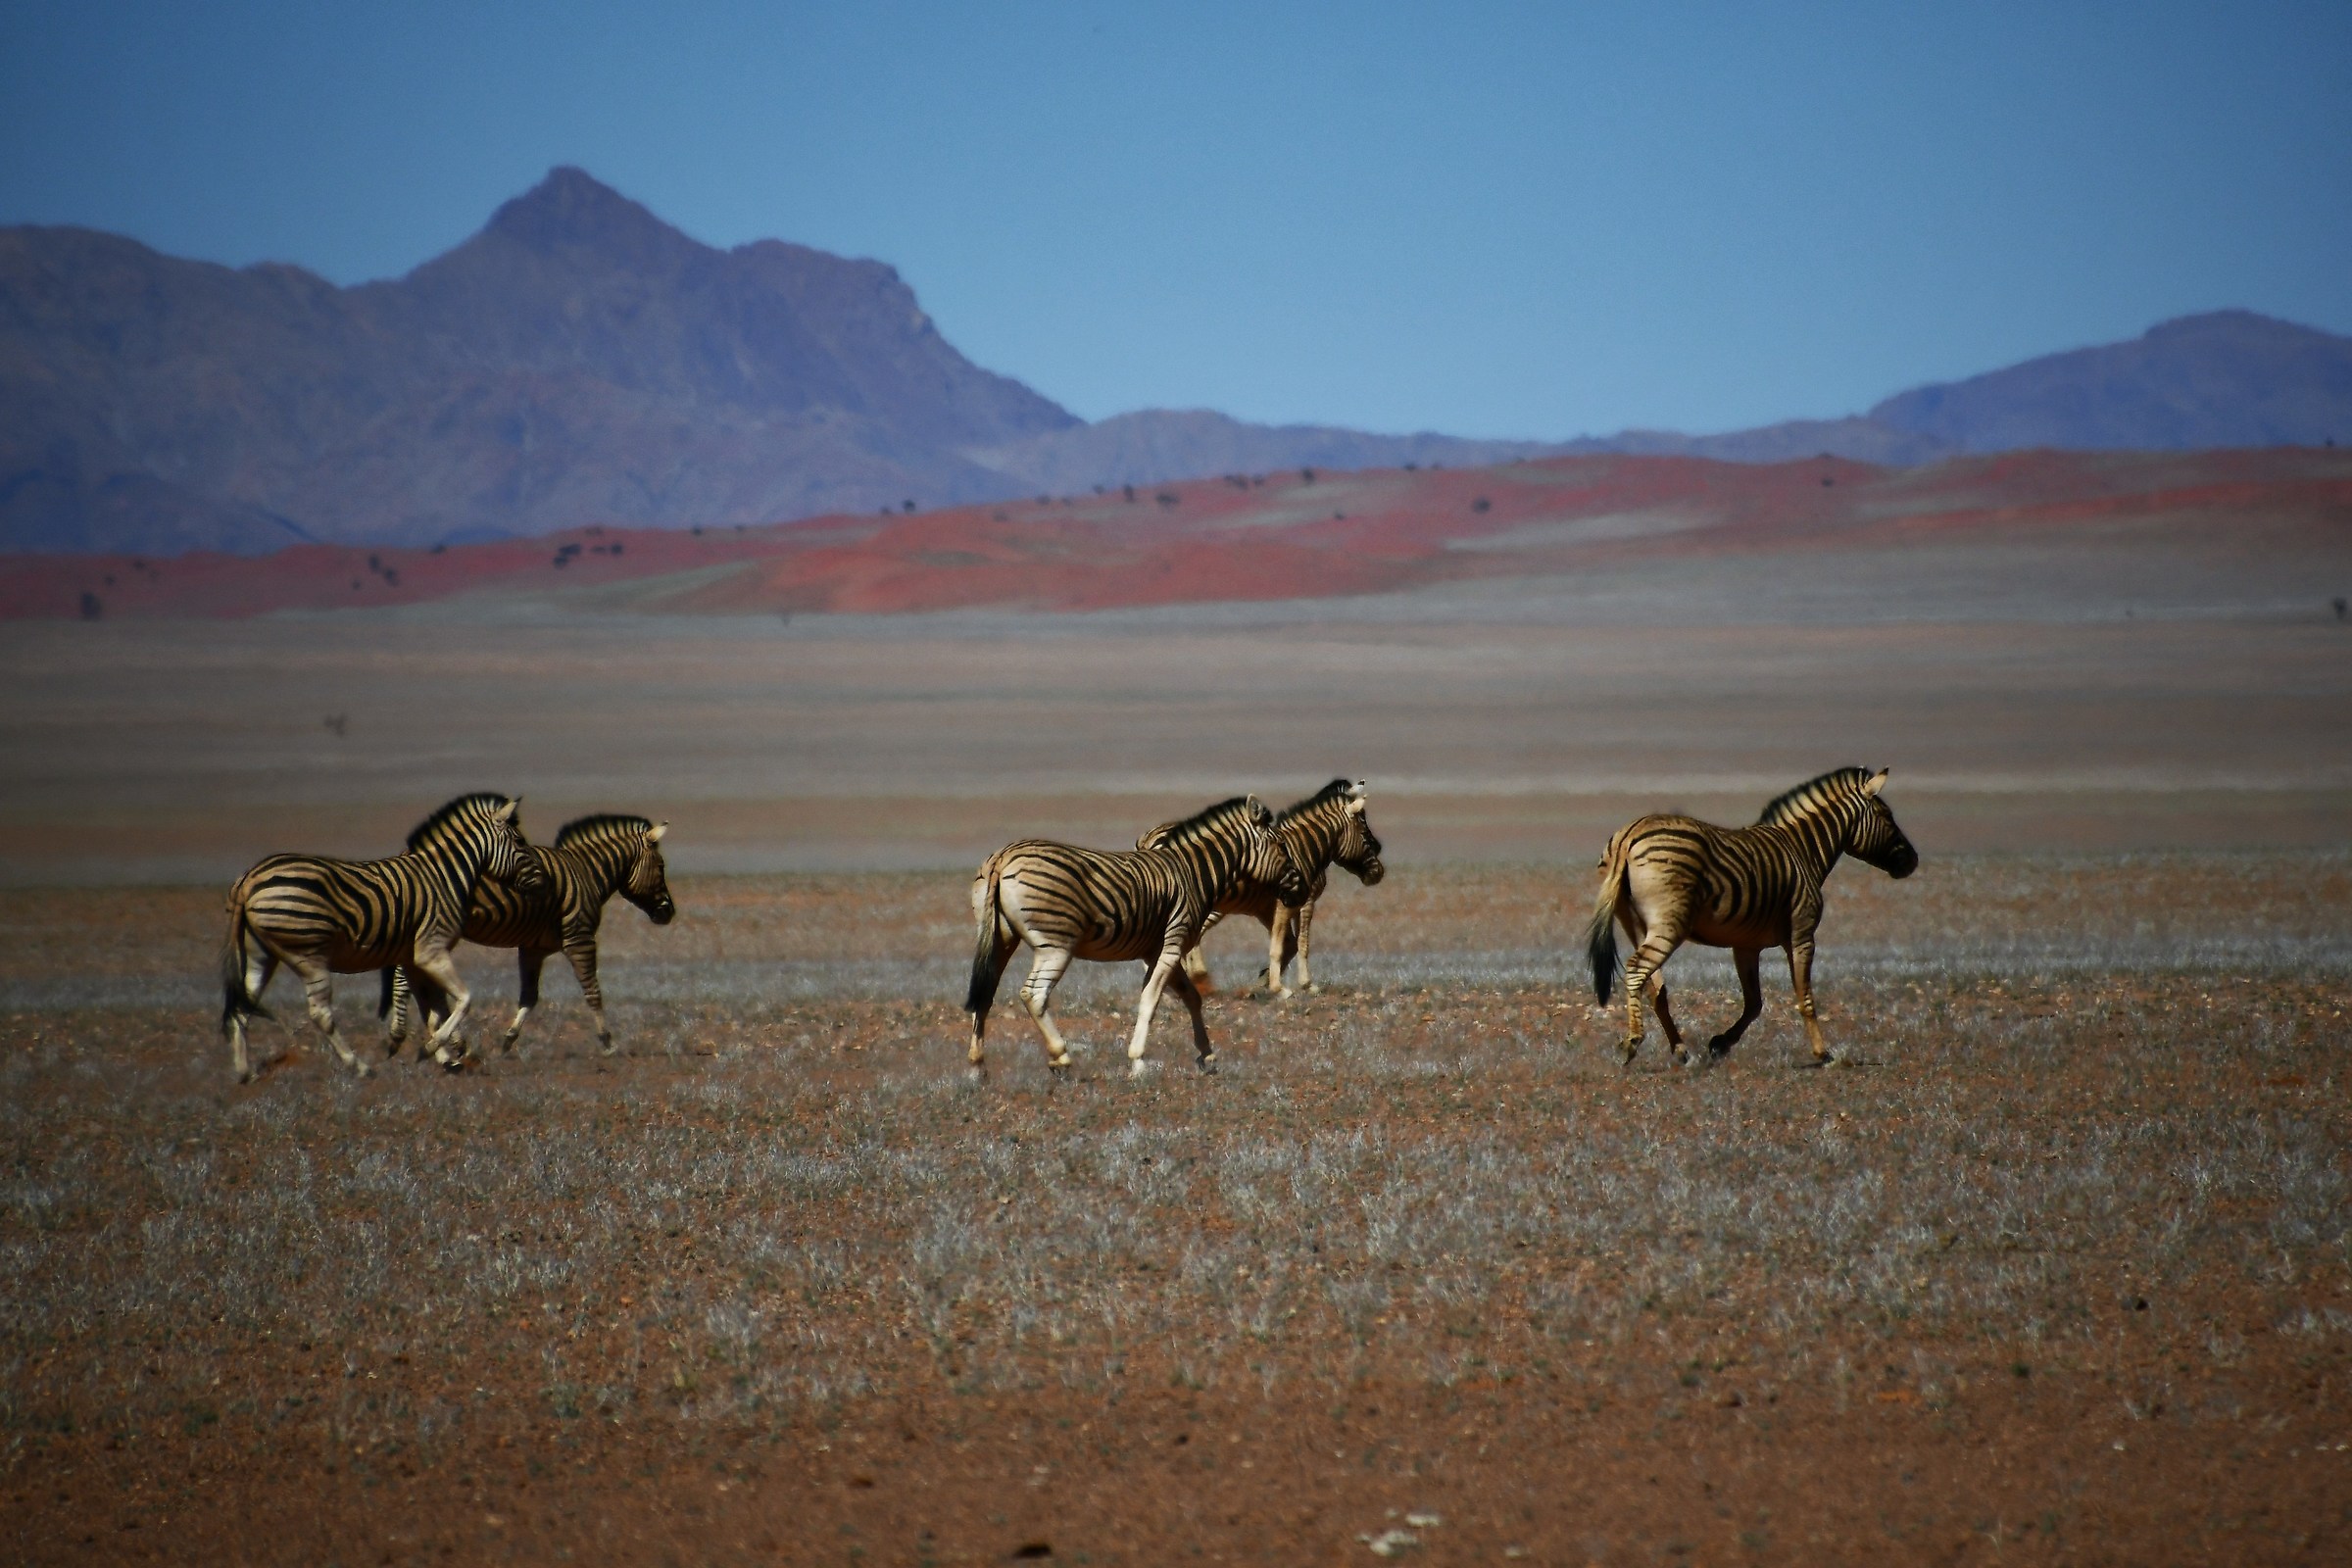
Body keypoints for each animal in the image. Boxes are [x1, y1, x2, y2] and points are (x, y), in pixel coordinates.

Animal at [218, 794, 543, 1083]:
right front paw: (434, 1049)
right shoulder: (431, 950)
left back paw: (245, 1073)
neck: (446, 875)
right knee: (320, 1014)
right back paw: (359, 1066)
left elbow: (433, 1011)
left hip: (261, 953)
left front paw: (446, 1056)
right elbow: (463, 1000)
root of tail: (248, 880)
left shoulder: (412, 960)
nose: (541, 881)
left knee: (243, 1008)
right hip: (308, 954)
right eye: (519, 842)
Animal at [380, 813, 675, 1059]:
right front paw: (607, 1042)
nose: (669, 913)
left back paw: (427, 1040)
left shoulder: (533, 948)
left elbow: (529, 996)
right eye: (660, 866)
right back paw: (408, 1037)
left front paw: (508, 1040)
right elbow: (593, 991)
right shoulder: (580, 939)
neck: (588, 874)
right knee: (406, 979)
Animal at [966, 795, 1309, 1076]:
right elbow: (1151, 1000)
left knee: (987, 993)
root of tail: (1002, 858)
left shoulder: (1155, 950)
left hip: (1000, 938)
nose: (1304, 890)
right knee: (1033, 995)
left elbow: (1191, 997)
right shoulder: (1173, 943)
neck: (1193, 873)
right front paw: (1138, 1060)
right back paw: (1060, 1057)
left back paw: (977, 1065)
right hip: (1056, 945)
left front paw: (1207, 1054)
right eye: (1281, 846)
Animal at [1138, 778, 1384, 997]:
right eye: (1364, 828)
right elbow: (1298, 944)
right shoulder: (1301, 903)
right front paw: (1302, 985)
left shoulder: (1268, 908)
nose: (1379, 871)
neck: (1305, 848)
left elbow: (1288, 945)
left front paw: (1262, 982)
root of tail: (1147, 838)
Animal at [1585, 767, 1917, 1068]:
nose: (1913, 861)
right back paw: (1632, 1042)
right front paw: (1823, 1053)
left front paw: (1720, 1044)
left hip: (1636, 923)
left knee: (1655, 986)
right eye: (1887, 816)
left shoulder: (1745, 945)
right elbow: (1805, 997)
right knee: (1637, 970)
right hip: (1669, 923)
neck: (1802, 850)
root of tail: (1629, 835)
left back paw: (1680, 1051)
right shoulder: (1802, 933)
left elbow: (1755, 1003)